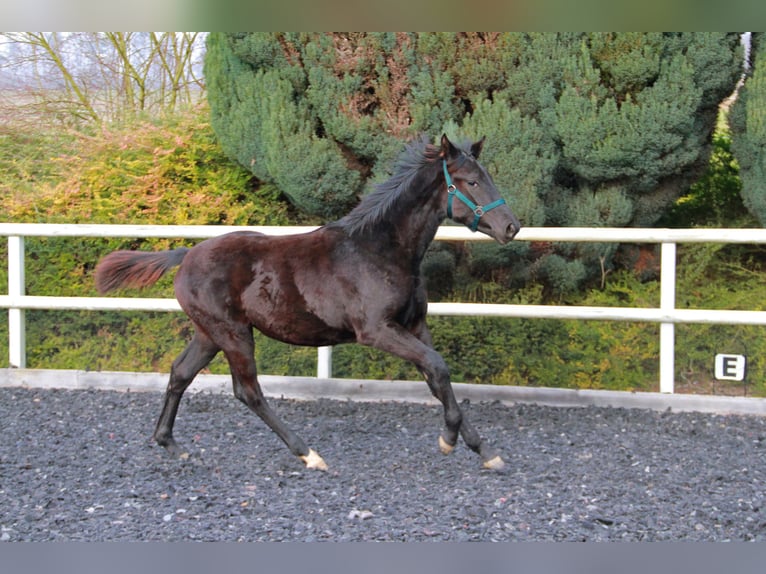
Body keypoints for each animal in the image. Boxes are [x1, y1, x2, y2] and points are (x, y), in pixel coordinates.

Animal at [94, 134, 521, 471]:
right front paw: (449, 439)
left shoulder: (415, 325)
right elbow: (438, 367)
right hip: (232, 333)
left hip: (209, 334)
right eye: (471, 181)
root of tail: (186, 256)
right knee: (247, 391)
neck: (380, 250)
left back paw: (171, 444)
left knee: (180, 373)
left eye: (489, 176)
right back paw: (307, 453)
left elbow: (437, 377)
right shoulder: (377, 330)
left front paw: (484, 450)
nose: (511, 227)